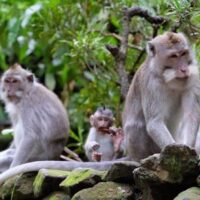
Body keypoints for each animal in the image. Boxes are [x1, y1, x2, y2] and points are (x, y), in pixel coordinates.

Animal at [122, 32, 200, 162]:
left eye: (183, 53)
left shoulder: (194, 77)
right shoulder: (151, 84)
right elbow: (155, 122)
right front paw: (178, 153)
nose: (184, 69)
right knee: (136, 128)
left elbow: (191, 116)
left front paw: (189, 150)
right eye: (173, 56)